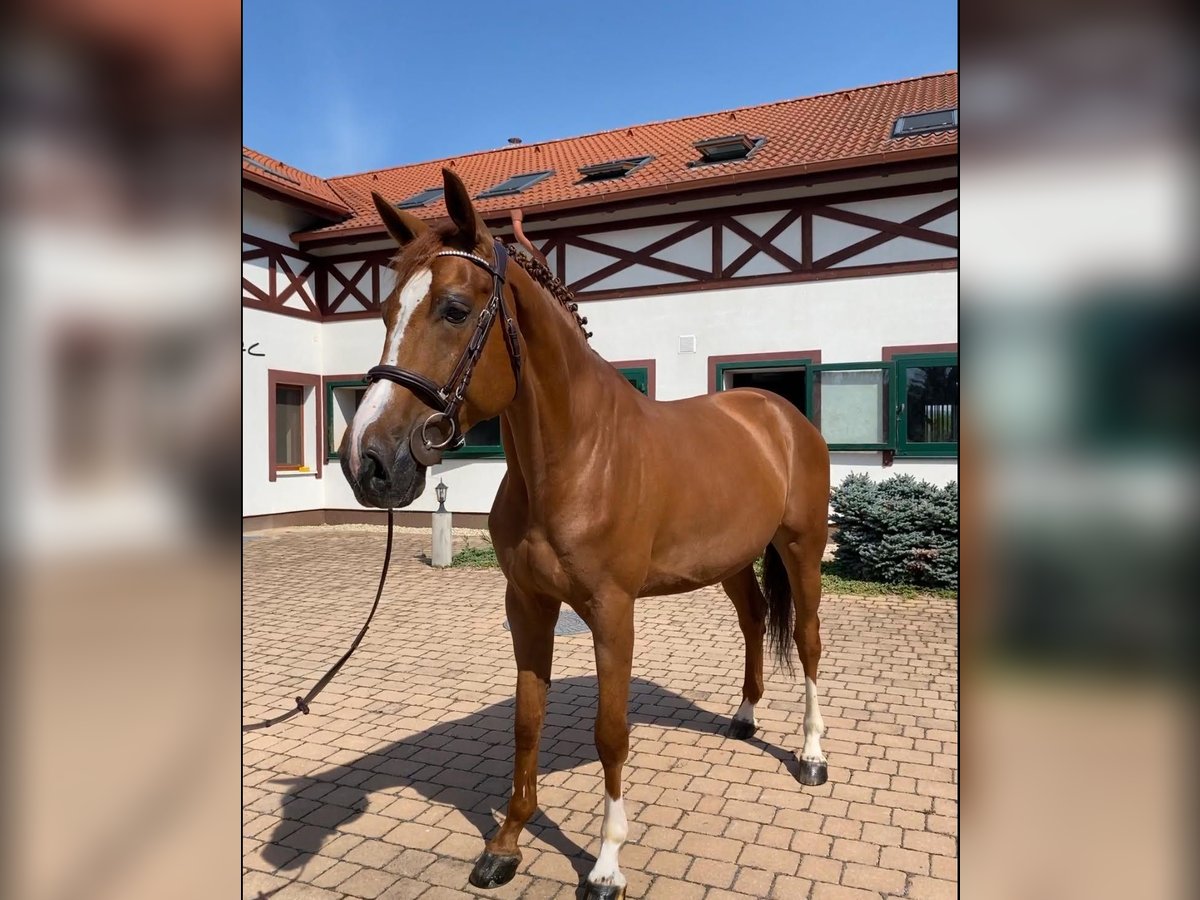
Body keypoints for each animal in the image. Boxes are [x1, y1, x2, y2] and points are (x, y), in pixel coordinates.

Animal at [338, 170, 825, 900]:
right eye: (388, 310)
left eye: (453, 308)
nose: (368, 462)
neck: (576, 457)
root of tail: (778, 412)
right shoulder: (528, 605)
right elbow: (526, 721)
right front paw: (505, 846)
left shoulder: (612, 611)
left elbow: (611, 732)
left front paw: (605, 864)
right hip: (733, 562)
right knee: (753, 619)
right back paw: (743, 718)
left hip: (802, 550)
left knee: (809, 641)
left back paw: (811, 755)